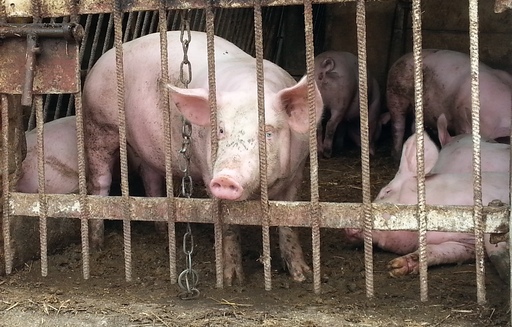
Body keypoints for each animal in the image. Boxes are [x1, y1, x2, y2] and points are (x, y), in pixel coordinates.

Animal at [84, 31, 324, 288]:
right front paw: (232, 281)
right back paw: (97, 244)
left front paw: (302, 275)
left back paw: (163, 231)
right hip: (99, 124)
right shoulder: (209, 171)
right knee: (100, 182)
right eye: (220, 130)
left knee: (151, 178)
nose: (226, 178)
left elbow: (289, 221)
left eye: (268, 132)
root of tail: (101, 61)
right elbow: (228, 226)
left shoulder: (297, 172)